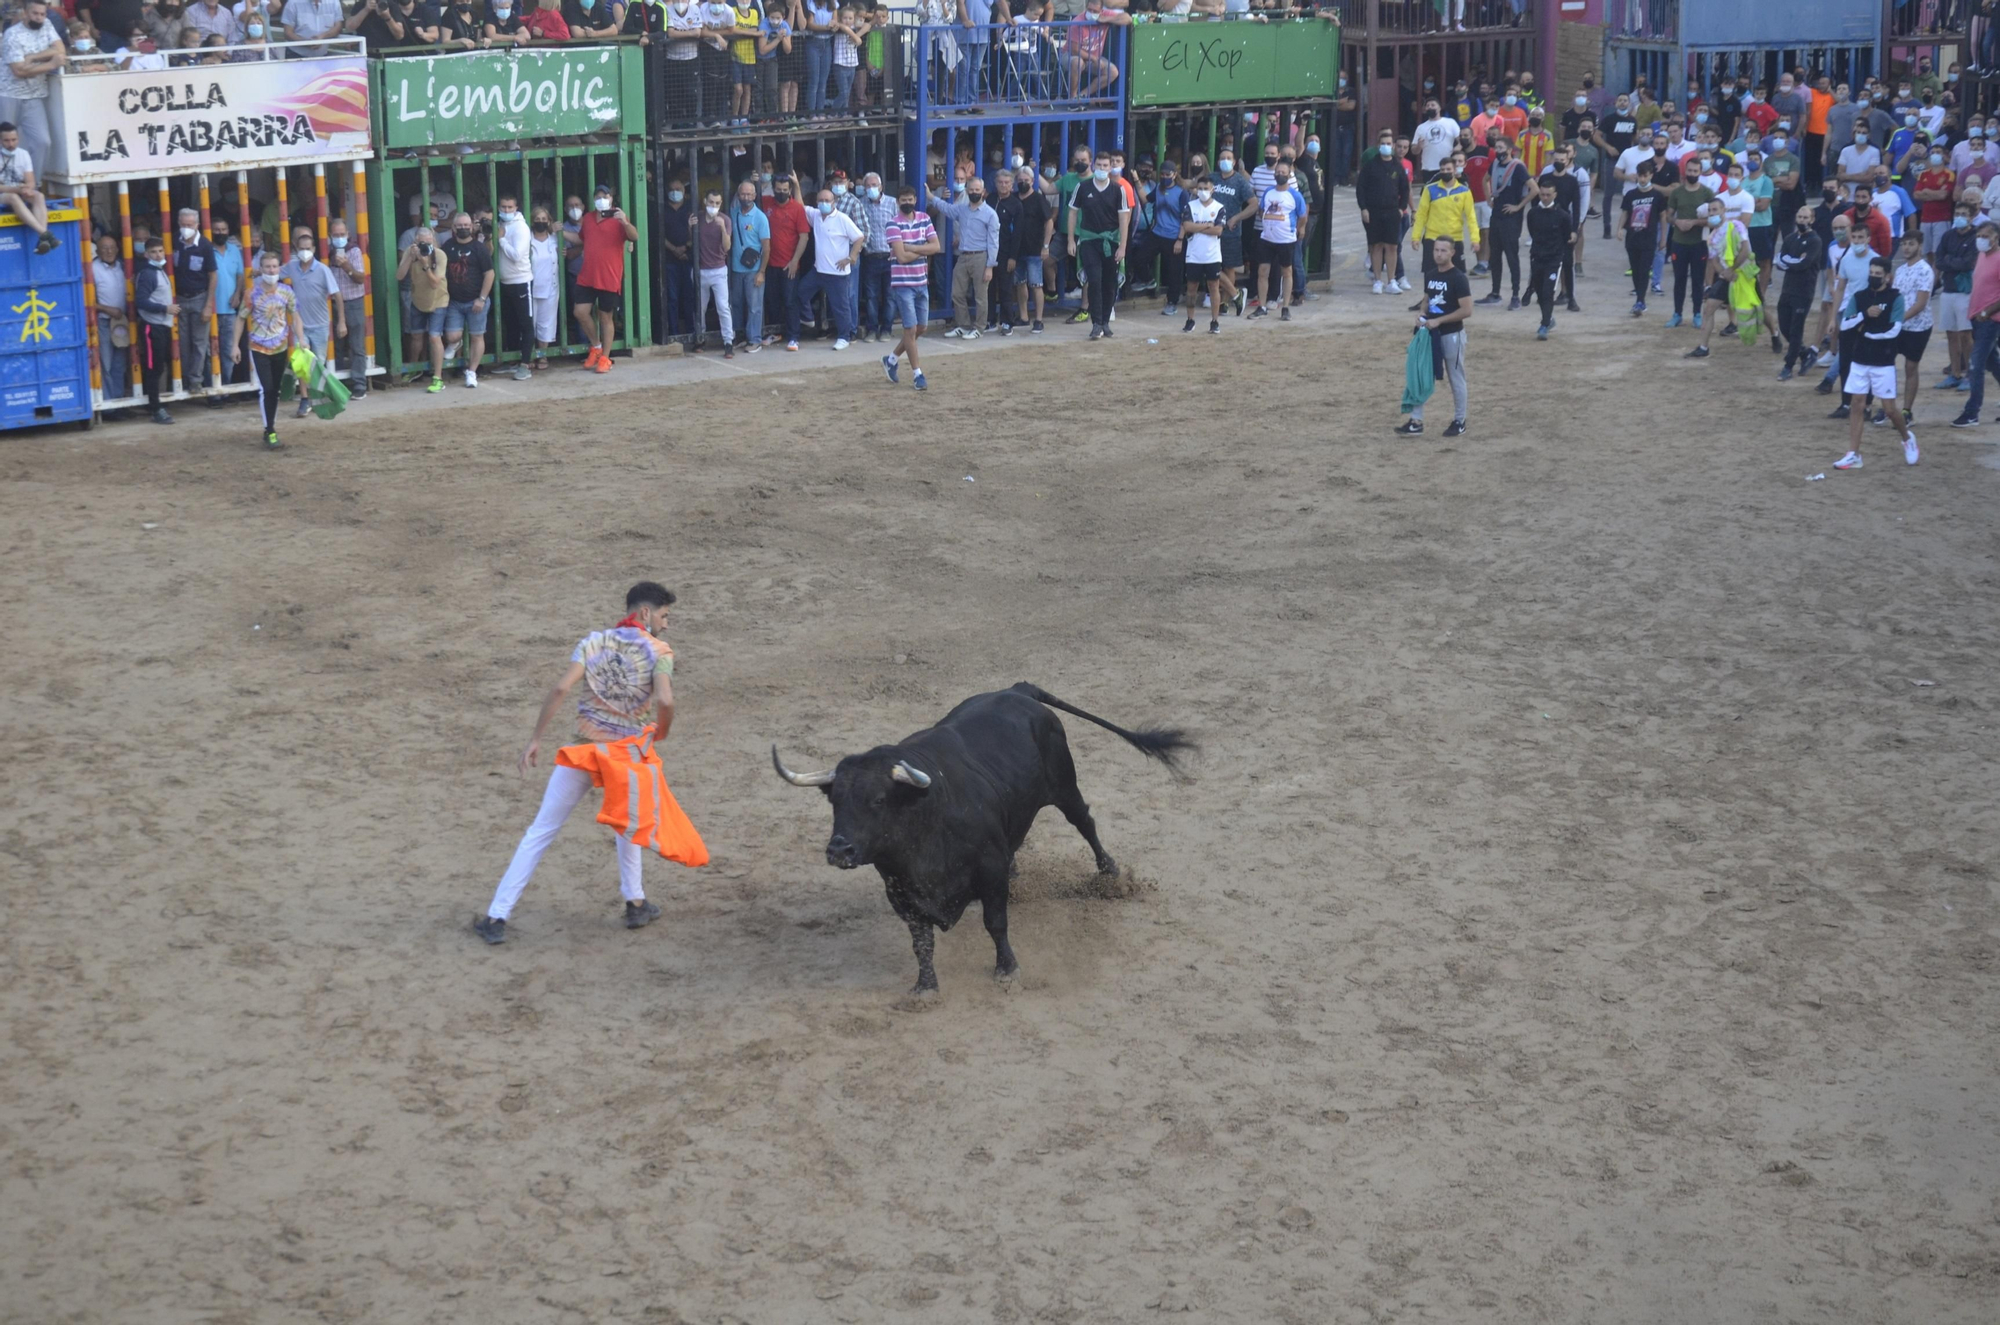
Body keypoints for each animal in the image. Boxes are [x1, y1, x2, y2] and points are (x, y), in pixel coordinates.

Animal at [776, 684, 1184, 996]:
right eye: (834, 800)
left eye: (878, 799)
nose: (839, 850)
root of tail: (1017, 690)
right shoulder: (900, 892)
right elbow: (921, 942)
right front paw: (925, 988)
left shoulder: (989, 872)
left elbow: (995, 922)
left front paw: (1007, 969)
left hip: (1065, 786)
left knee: (1085, 822)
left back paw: (1110, 874)